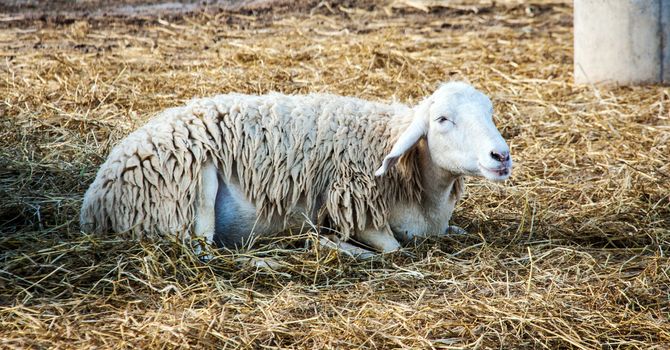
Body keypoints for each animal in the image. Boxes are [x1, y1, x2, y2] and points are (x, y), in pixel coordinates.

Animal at [82, 82, 516, 258]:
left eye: (490, 111)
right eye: (442, 119)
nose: (501, 156)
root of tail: (94, 202)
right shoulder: (353, 209)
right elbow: (393, 250)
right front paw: (331, 244)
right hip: (193, 186)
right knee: (203, 254)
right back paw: (272, 257)